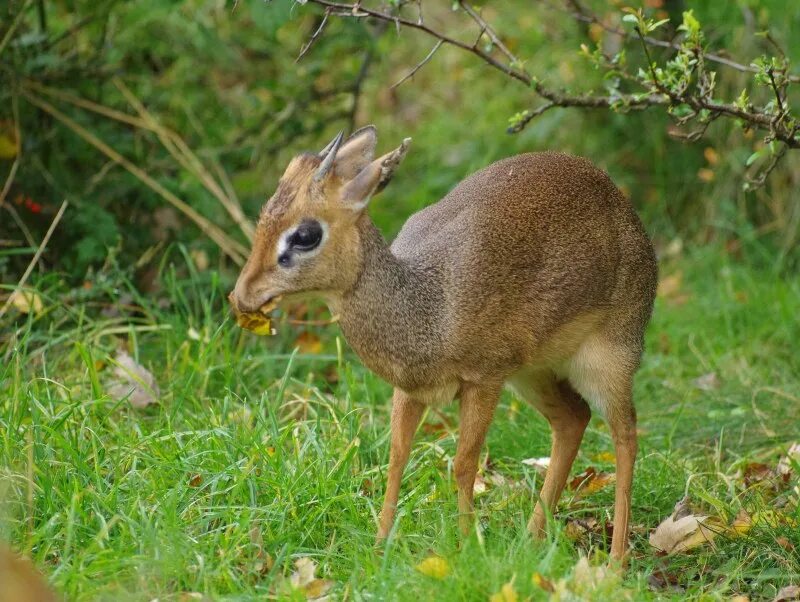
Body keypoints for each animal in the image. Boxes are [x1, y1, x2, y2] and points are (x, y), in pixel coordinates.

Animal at [230, 125, 656, 556]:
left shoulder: (483, 381)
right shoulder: (411, 389)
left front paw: (467, 547)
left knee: (626, 436)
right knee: (573, 419)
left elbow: (464, 464)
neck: (429, 308)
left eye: (305, 234)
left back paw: (615, 559)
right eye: (264, 215)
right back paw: (530, 540)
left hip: (608, 360)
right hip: (532, 375)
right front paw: (380, 548)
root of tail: (616, 197)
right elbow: (397, 456)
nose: (241, 295)